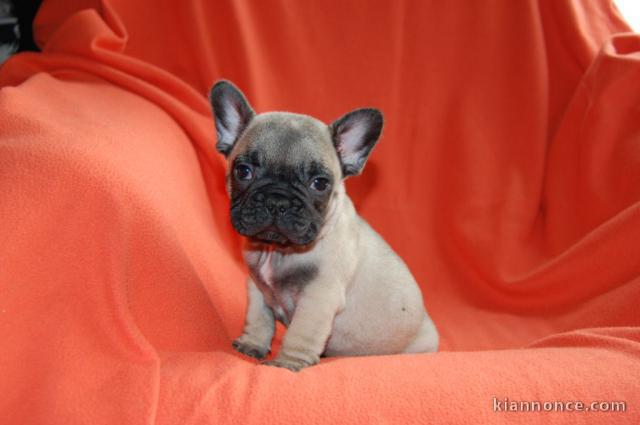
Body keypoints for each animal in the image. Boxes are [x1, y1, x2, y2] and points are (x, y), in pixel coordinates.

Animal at [210, 80, 440, 372]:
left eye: (319, 183)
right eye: (243, 171)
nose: (277, 199)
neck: (278, 250)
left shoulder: (318, 299)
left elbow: (300, 334)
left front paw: (286, 364)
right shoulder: (256, 287)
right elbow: (258, 318)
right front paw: (252, 345)